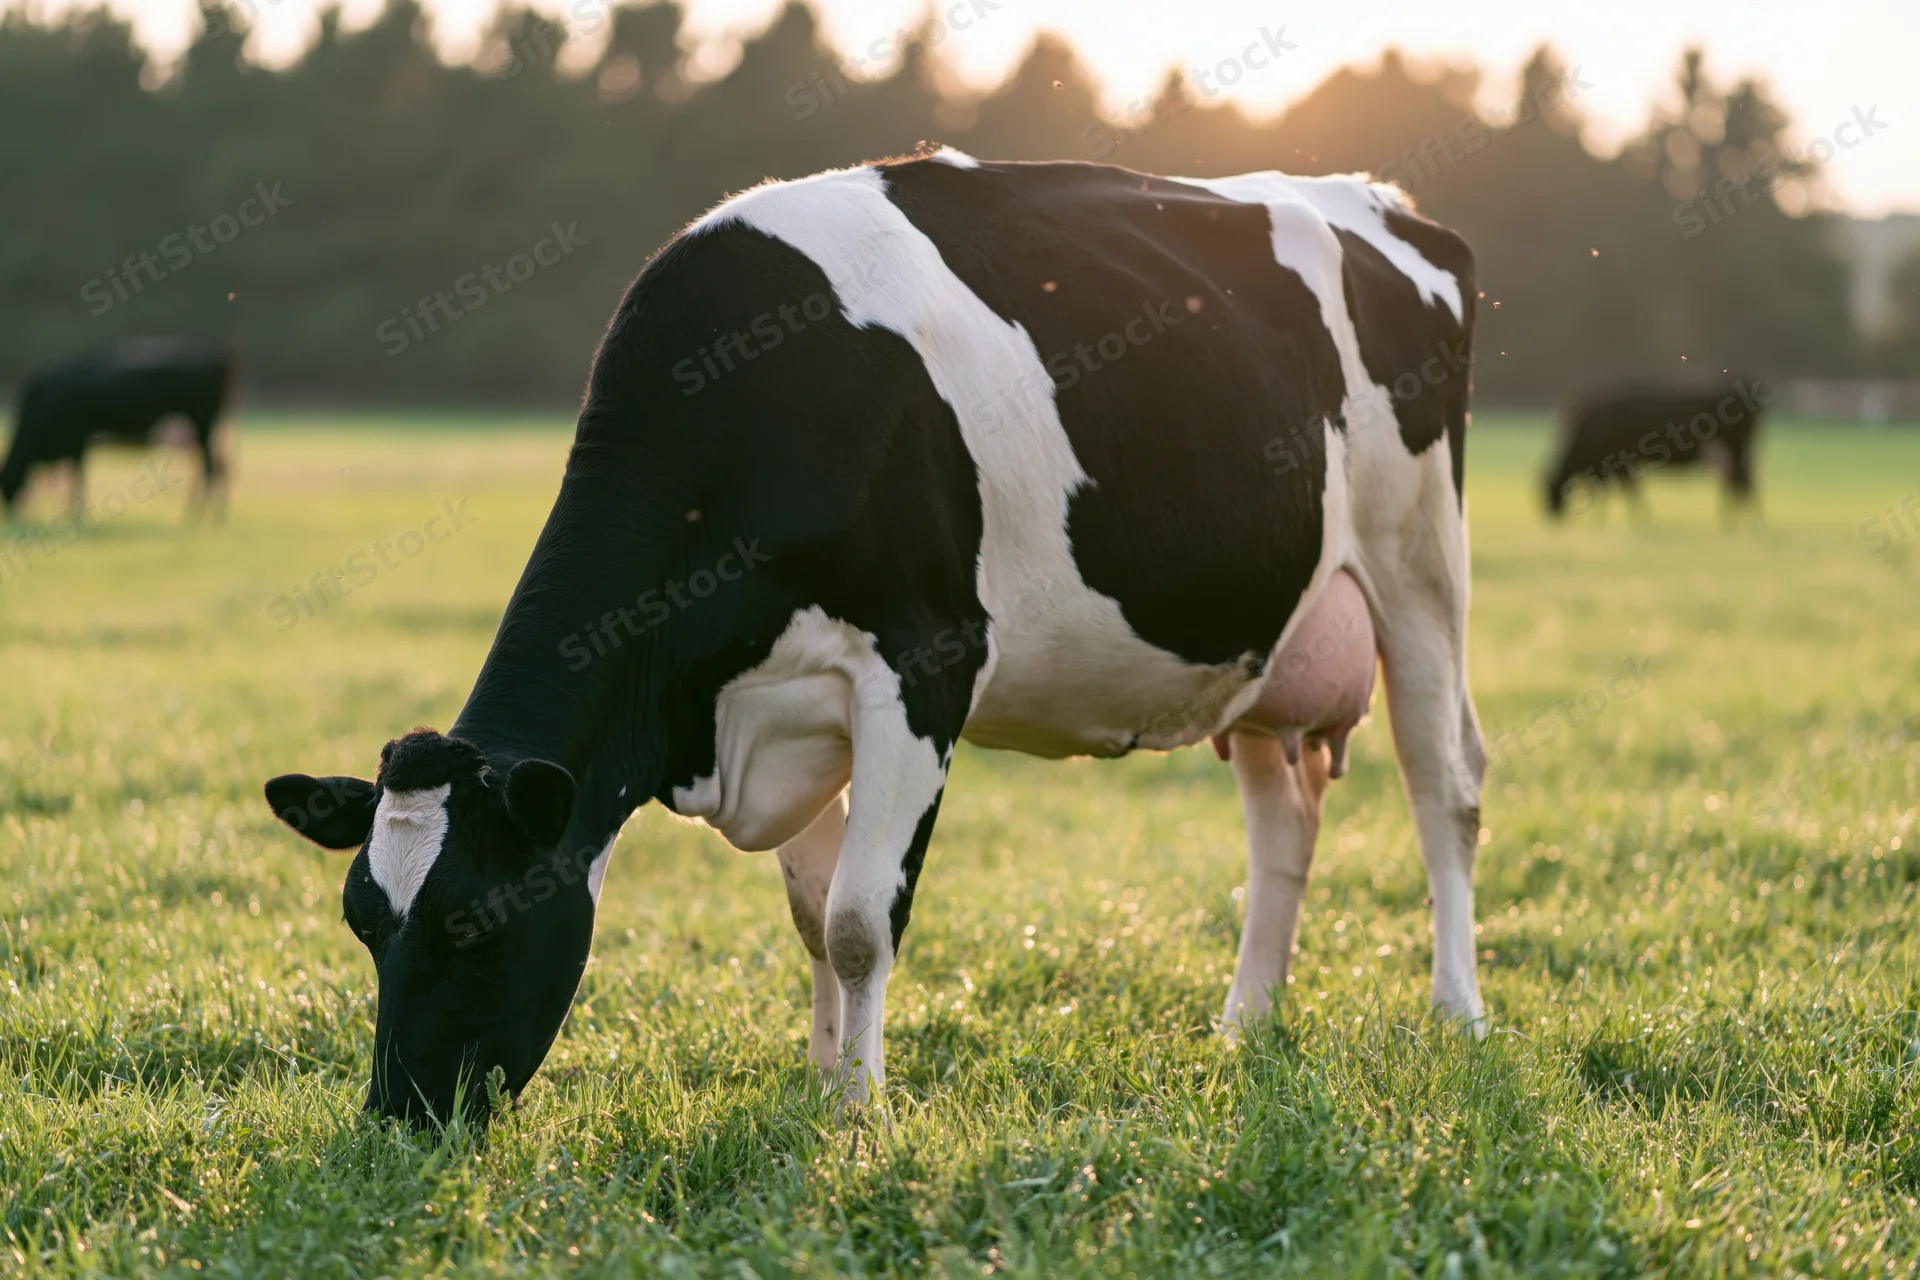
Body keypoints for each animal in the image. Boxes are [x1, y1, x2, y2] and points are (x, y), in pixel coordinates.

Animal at [1, 337, 233, 518]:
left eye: (5, 483)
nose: (11, 516)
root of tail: (217, 356)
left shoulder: (77, 441)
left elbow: (78, 479)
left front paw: (77, 515)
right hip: (206, 428)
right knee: (218, 466)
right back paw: (213, 516)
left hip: (200, 422)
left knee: (210, 467)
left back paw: (195, 515)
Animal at [263, 150, 1485, 1126]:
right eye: (361, 922)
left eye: (471, 923)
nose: (397, 1116)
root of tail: (1379, 201)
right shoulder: (792, 708)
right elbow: (813, 919)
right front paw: (818, 1081)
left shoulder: (921, 664)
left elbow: (859, 919)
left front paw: (859, 1109)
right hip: (1271, 650)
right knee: (1283, 818)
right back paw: (1246, 1022)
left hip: (1418, 564)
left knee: (1446, 785)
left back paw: (1456, 1014)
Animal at [1543, 376, 1765, 518]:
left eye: (1551, 487)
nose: (1552, 516)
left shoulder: (1621, 463)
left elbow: (1631, 491)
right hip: (1739, 452)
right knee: (1743, 482)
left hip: (1735, 449)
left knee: (1741, 483)